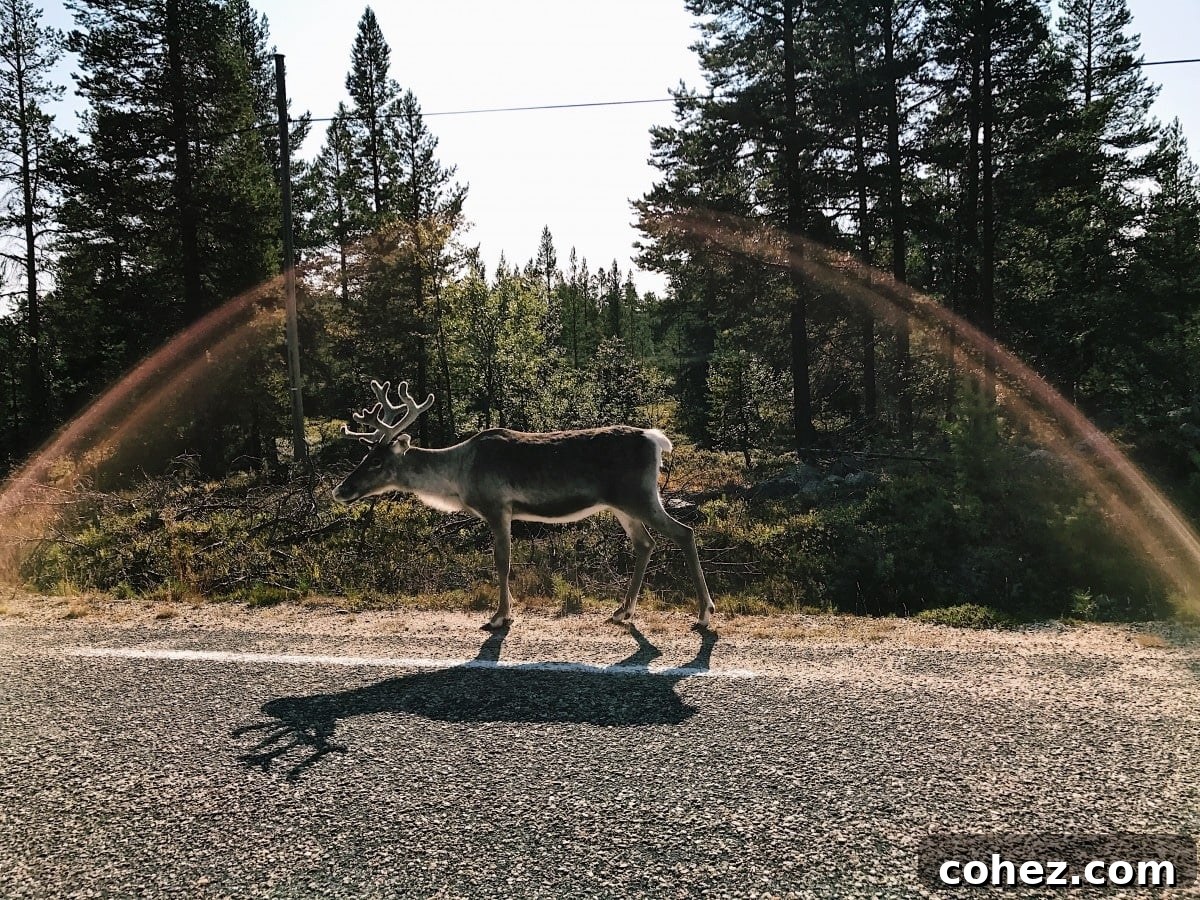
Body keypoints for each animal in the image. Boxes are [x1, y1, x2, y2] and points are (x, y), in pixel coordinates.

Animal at [332, 379, 715, 631]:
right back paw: (623, 611)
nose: (340, 490)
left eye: (376, 461)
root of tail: (657, 440)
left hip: (639, 496)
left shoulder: (497, 507)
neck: (457, 477)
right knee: (645, 543)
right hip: (622, 504)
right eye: (365, 455)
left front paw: (500, 615)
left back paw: (704, 613)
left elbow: (502, 561)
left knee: (684, 532)